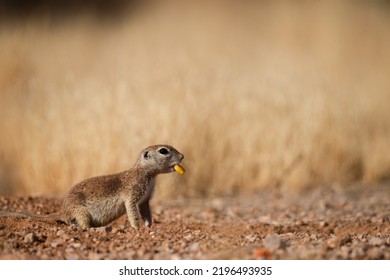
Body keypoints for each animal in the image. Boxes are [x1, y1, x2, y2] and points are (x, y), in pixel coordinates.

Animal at [0, 145, 185, 229]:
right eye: (163, 151)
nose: (182, 156)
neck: (147, 173)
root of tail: (63, 211)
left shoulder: (145, 199)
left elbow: (146, 211)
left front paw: (148, 226)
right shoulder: (132, 192)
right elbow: (132, 210)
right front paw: (136, 228)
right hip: (80, 211)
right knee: (82, 225)